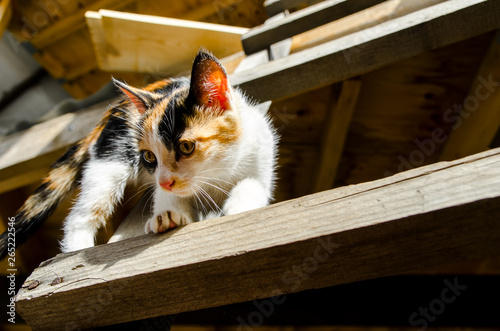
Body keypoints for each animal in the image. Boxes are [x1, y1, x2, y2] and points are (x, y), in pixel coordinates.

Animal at [0, 52, 278, 258]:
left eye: (186, 147)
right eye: (149, 157)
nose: (164, 181)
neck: (217, 174)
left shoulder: (262, 151)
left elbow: (255, 183)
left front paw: (239, 203)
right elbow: (167, 199)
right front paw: (167, 216)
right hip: (109, 163)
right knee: (80, 215)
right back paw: (75, 250)